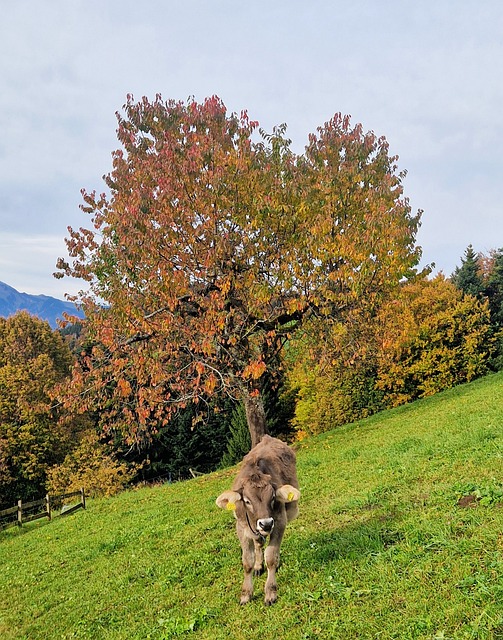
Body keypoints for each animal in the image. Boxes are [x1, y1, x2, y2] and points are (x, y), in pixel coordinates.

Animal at [216, 434, 300, 605]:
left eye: (273, 497)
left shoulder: (279, 522)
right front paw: (246, 593)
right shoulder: (241, 528)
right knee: (259, 543)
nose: (266, 523)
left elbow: (271, 557)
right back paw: (258, 566)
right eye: (247, 501)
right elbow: (247, 561)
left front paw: (270, 592)